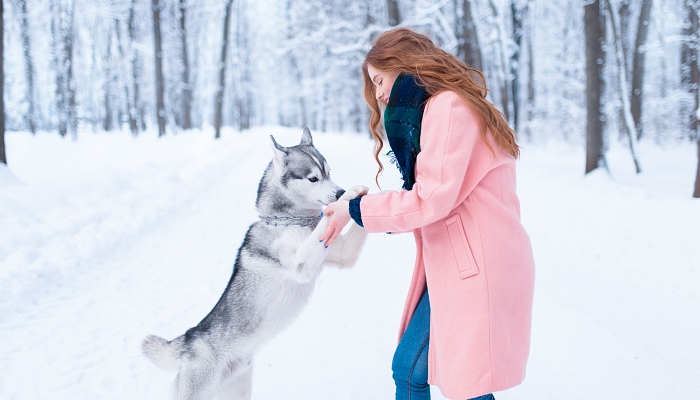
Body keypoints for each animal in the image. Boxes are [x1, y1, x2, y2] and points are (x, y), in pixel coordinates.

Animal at [144, 129, 370, 400]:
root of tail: (189, 338)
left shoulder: (342, 254)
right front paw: (350, 195)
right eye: (313, 178)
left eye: (329, 172)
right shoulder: (301, 264)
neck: (288, 221)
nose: (338, 191)